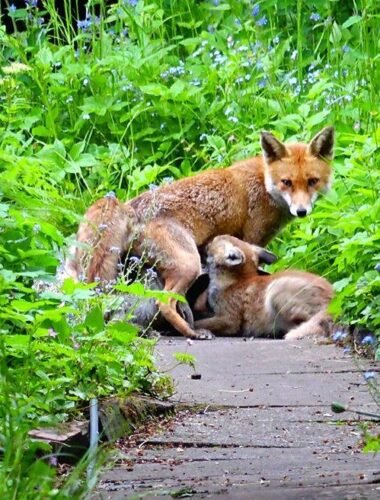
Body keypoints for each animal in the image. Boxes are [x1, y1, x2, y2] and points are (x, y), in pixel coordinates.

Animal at [67, 127, 334, 338]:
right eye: (286, 182)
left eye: (312, 181)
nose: (302, 211)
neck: (264, 184)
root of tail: (128, 207)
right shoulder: (250, 238)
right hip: (189, 264)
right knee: (164, 301)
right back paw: (191, 332)